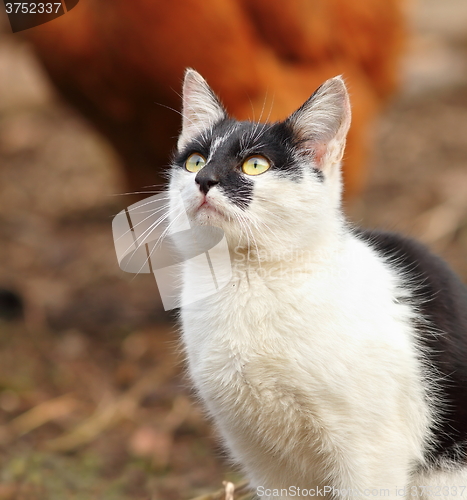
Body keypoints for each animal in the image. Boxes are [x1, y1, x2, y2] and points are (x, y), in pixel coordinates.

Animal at [167, 68, 467, 498]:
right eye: (195, 161)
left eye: (254, 164)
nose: (204, 179)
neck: (247, 281)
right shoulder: (261, 459)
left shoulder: (372, 454)